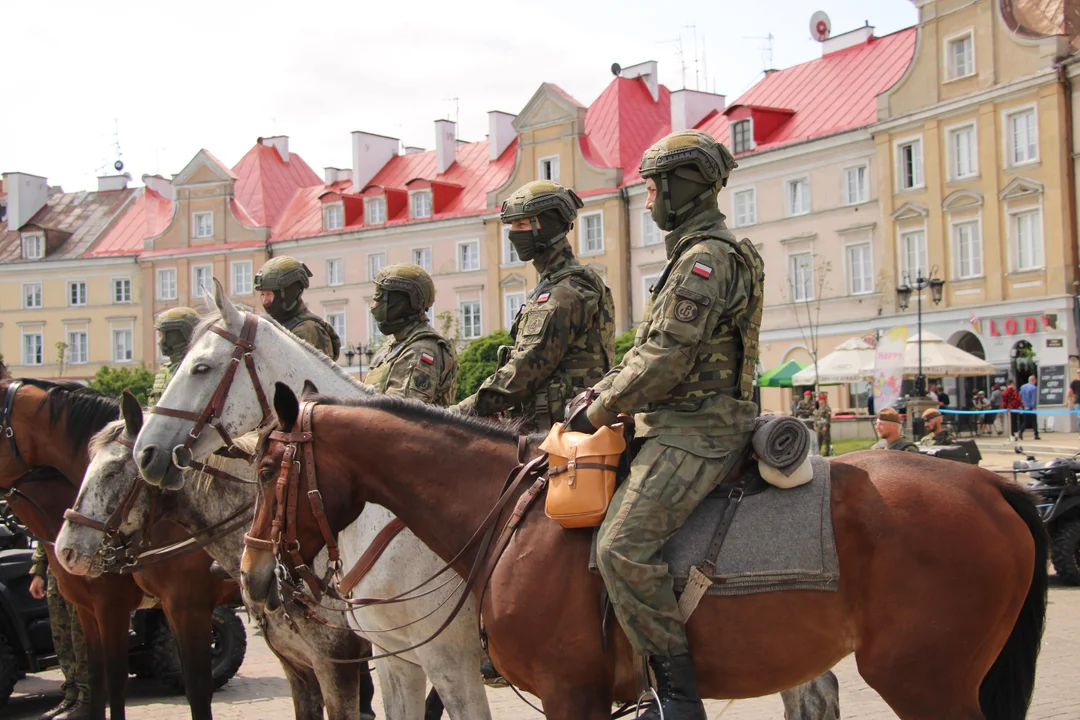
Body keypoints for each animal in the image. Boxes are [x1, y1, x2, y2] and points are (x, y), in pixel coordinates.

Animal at [0, 379, 236, 716]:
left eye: (111, 473)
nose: (66, 551)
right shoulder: (89, 609)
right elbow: (98, 679)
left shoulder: (153, 605)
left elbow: (181, 686)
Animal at [243, 388, 1045, 720]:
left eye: (263, 465)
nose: (254, 577)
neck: (505, 521)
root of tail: (988, 482)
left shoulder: (562, 693)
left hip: (925, 683)